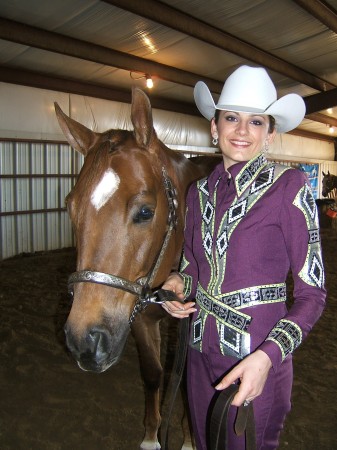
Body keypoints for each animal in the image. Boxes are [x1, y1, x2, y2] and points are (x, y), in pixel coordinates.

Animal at [54, 89, 218, 450]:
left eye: (145, 211)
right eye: (70, 207)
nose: (83, 341)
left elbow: (186, 378)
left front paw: (189, 438)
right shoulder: (140, 316)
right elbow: (154, 373)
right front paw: (151, 437)